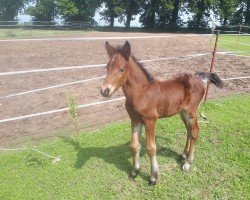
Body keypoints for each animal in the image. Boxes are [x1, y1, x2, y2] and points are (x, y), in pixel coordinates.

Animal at [100, 41, 224, 185]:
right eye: (107, 67)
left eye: (122, 69)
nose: (104, 91)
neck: (142, 93)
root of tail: (200, 77)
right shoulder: (135, 120)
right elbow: (135, 145)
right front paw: (135, 171)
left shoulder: (151, 120)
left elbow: (151, 147)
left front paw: (153, 177)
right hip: (182, 112)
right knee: (188, 130)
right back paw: (183, 155)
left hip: (191, 112)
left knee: (194, 132)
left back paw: (188, 163)